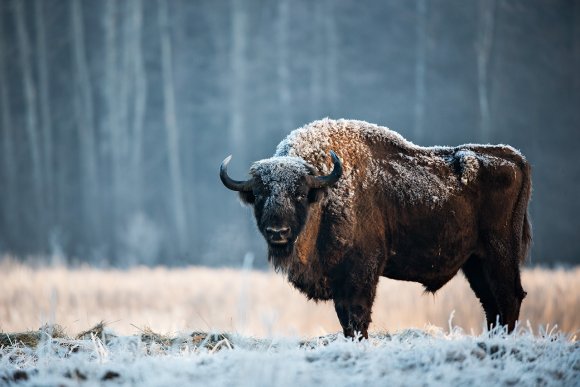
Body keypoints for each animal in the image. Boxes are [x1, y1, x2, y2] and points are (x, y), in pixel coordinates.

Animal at [221, 118, 532, 340]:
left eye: (299, 193)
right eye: (260, 194)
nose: (278, 232)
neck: (324, 194)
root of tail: (514, 158)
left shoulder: (361, 274)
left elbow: (358, 318)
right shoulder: (339, 282)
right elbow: (345, 320)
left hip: (499, 254)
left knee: (509, 298)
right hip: (475, 262)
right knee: (492, 304)